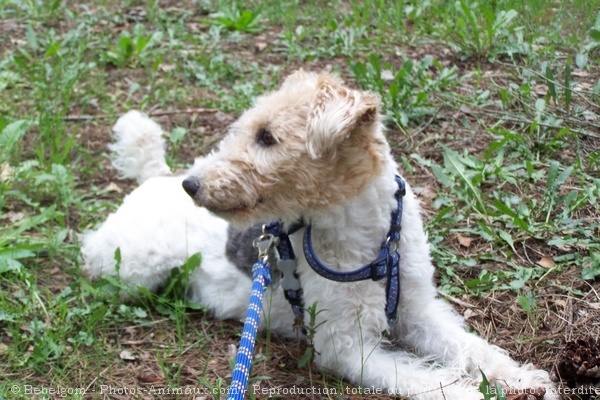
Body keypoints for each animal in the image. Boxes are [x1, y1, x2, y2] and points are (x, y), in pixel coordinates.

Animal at [81, 70, 556, 398]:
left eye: (267, 136)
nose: (194, 185)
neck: (370, 246)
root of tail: (159, 178)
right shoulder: (345, 347)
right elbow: (429, 380)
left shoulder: (417, 313)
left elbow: (474, 349)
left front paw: (523, 379)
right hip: (129, 269)